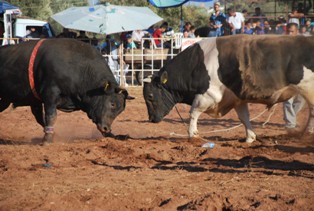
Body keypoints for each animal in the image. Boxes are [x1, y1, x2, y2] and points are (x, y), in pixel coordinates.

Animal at [0, 38, 128, 144]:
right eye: (112, 103)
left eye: (120, 110)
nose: (106, 128)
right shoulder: (50, 95)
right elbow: (51, 116)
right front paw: (47, 139)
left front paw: (114, 135)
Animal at [143, 35, 314, 143]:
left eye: (150, 96)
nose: (151, 119)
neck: (196, 64)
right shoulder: (238, 98)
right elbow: (244, 117)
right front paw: (250, 137)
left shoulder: (208, 95)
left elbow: (193, 113)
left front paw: (193, 135)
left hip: (308, 89)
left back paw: (308, 133)